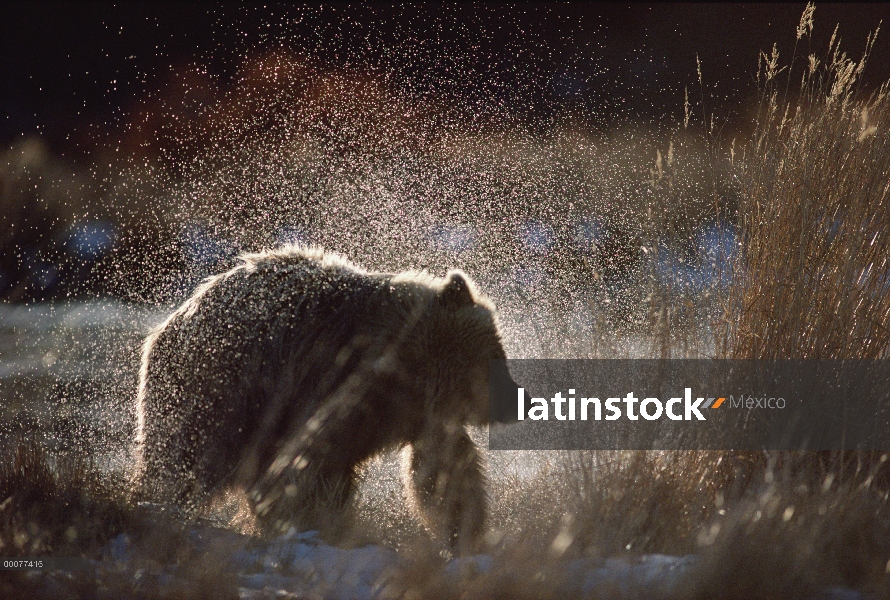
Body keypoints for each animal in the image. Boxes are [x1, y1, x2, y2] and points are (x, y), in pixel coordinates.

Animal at [135, 245, 516, 552]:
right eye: (497, 357)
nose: (514, 401)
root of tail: (164, 327)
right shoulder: (334, 385)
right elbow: (309, 467)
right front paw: (318, 526)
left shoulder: (422, 417)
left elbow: (444, 471)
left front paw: (466, 535)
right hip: (218, 393)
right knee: (183, 458)